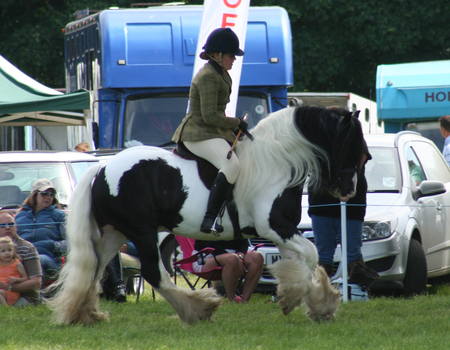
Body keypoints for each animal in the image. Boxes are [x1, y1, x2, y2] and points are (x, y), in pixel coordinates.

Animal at [48, 106, 366, 326]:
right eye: (353, 147)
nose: (349, 192)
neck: (276, 161)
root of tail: (100, 167)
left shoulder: (282, 231)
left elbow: (304, 262)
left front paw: (316, 304)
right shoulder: (274, 226)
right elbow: (311, 255)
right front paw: (296, 299)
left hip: (116, 232)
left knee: (96, 268)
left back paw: (85, 315)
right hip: (142, 231)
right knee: (153, 272)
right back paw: (198, 308)